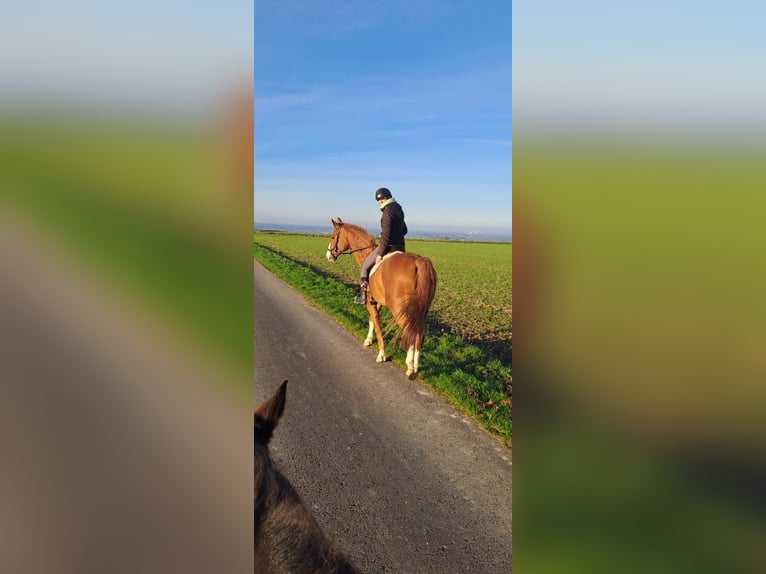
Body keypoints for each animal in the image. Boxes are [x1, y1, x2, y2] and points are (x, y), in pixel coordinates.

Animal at [325, 218, 437, 379]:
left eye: (333, 236)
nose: (328, 256)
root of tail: (418, 261)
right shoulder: (376, 301)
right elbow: (372, 320)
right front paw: (368, 340)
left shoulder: (369, 301)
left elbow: (377, 323)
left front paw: (381, 354)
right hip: (421, 310)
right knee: (420, 333)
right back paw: (415, 367)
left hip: (400, 309)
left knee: (411, 331)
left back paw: (410, 366)